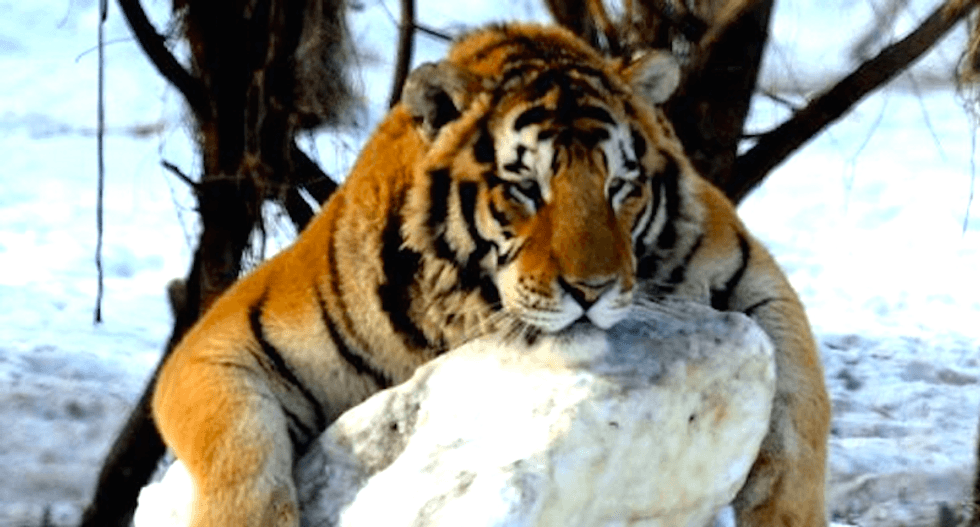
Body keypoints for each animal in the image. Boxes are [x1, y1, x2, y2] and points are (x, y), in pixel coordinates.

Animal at [150, 22, 830, 527]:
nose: (592, 290)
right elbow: (240, 453)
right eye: (525, 188)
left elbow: (801, 412)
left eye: (620, 187)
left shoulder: (749, 273)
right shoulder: (222, 345)